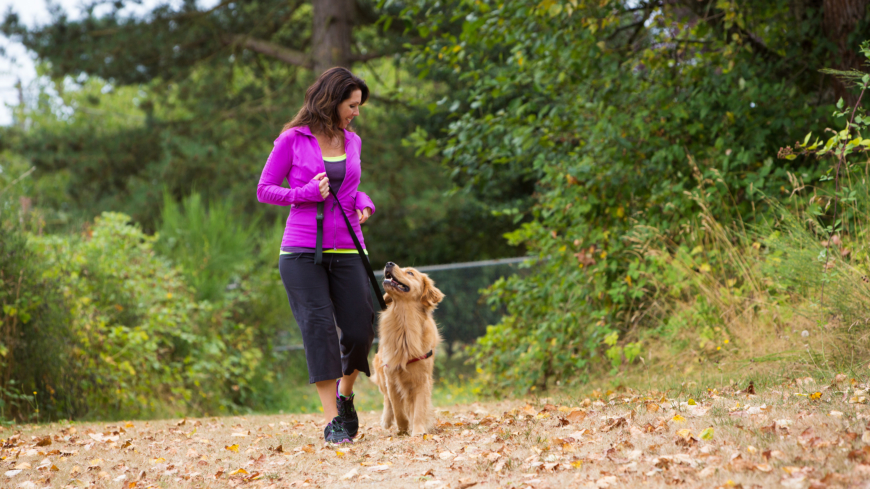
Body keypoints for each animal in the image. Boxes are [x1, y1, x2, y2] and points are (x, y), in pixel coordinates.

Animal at [372, 262, 446, 436]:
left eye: (410, 273)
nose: (389, 263)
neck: (404, 322)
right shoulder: (391, 375)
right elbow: (397, 408)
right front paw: (403, 428)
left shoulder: (422, 379)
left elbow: (419, 408)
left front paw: (418, 430)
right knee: (387, 400)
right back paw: (386, 420)